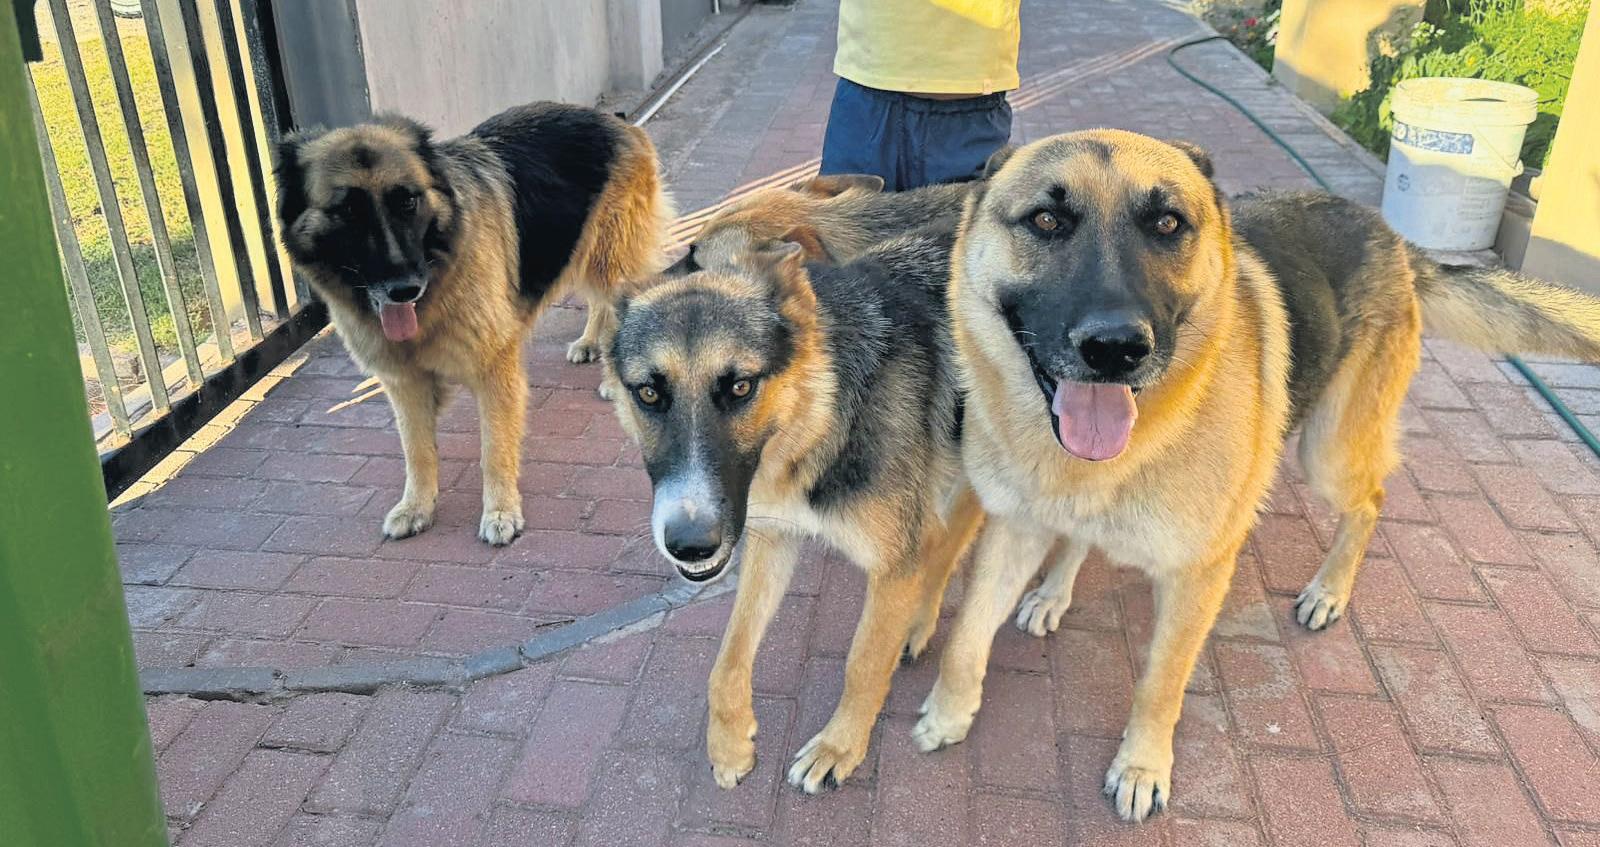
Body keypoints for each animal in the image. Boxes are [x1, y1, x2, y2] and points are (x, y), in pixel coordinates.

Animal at [275, 103, 671, 545]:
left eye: (407, 202)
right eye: (347, 211)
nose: (404, 289)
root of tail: (611, 117)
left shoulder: (494, 369)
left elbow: (494, 448)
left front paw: (500, 510)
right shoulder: (405, 382)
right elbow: (417, 450)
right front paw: (416, 506)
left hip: (610, 259)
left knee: (617, 302)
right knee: (597, 302)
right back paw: (589, 342)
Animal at [606, 230, 985, 793]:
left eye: (741, 387)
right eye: (649, 393)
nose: (691, 545)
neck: (819, 416)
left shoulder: (893, 567)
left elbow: (863, 663)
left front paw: (839, 746)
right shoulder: (771, 541)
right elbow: (728, 658)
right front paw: (730, 741)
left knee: (947, 547)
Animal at [913, 129, 1600, 822]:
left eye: (1167, 224)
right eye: (1046, 221)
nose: (1115, 348)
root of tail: (1391, 235)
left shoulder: (1198, 576)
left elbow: (1160, 682)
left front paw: (1141, 766)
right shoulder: (1014, 528)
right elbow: (966, 635)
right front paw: (949, 713)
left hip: (1328, 453)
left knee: (1372, 501)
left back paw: (1329, 591)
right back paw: (1055, 591)